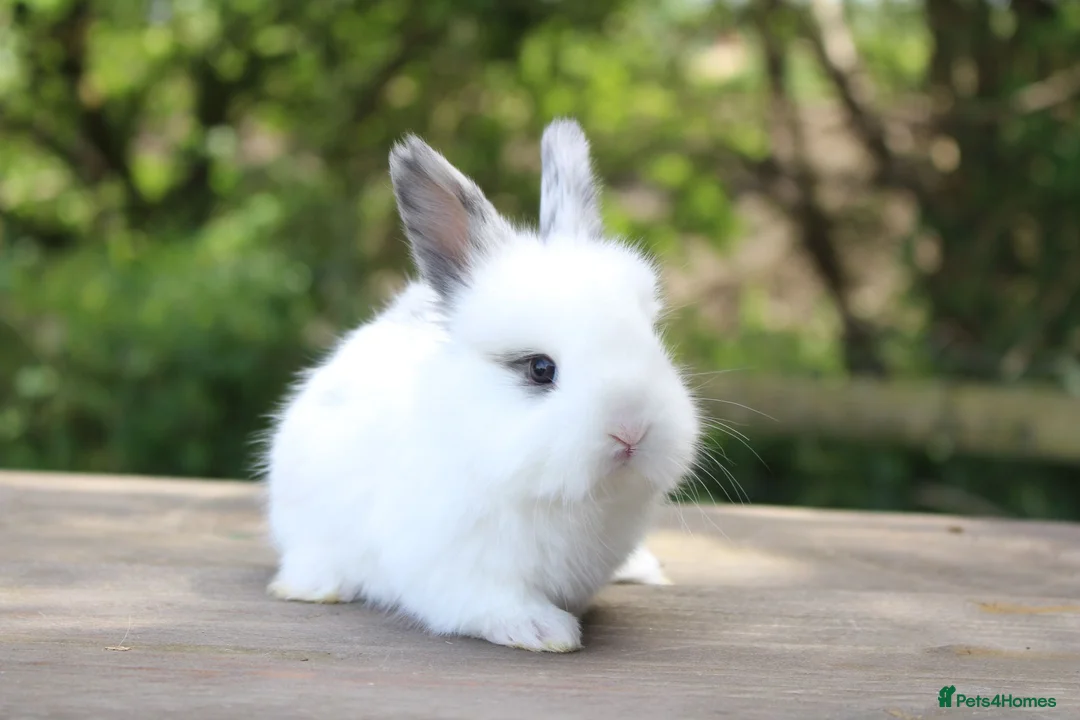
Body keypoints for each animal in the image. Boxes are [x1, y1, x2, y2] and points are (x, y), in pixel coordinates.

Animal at [262, 118, 700, 652]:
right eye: (540, 369)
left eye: (652, 338)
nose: (632, 430)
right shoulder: (454, 568)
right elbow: (492, 603)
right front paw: (545, 630)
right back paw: (313, 587)